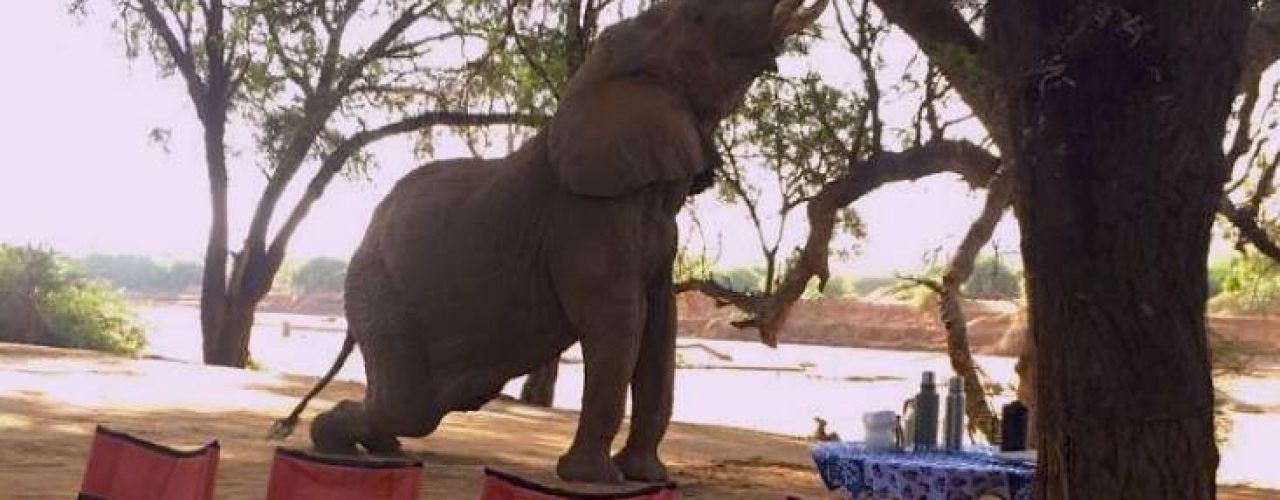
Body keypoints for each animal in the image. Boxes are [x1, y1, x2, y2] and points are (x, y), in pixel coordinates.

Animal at [269, 0, 828, 484]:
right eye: (696, 17)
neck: (599, 75)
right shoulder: (583, 217)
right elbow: (620, 322)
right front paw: (594, 479)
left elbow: (660, 328)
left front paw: (647, 476)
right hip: (377, 287)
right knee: (409, 404)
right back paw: (332, 442)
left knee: (416, 405)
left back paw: (378, 448)